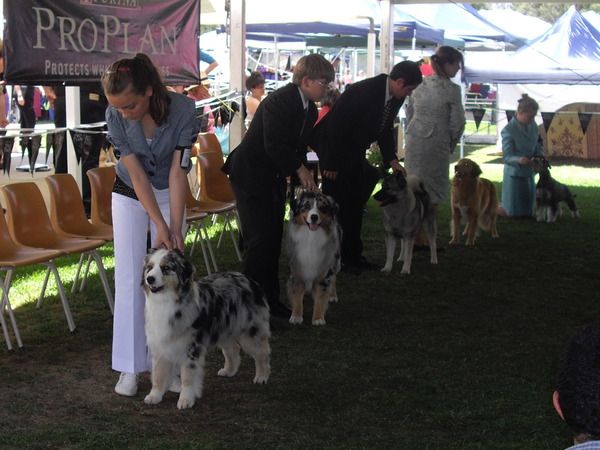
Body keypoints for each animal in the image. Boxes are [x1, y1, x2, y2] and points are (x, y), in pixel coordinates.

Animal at [142, 248, 271, 410]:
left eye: (165, 268)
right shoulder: (160, 344)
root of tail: (250, 280)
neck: (166, 302)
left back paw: (262, 376)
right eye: (150, 267)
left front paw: (186, 399)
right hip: (225, 329)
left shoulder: (191, 348)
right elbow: (158, 373)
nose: (149, 279)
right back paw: (229, 370)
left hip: (250, 332)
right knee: (233, 349)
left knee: (262, 353)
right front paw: (155, 396)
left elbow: (188, 376)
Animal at [286, 190, 341, 326]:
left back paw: (332, 295)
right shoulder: (296, 271)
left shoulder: (324, 272)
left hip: (335, 259)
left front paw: (318, 318)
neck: (311, 237)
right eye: (306, 206)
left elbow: (321, 298)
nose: (314, 217)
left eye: (322, 208)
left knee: (334, 277)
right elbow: (296, 295)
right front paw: (296, 316)